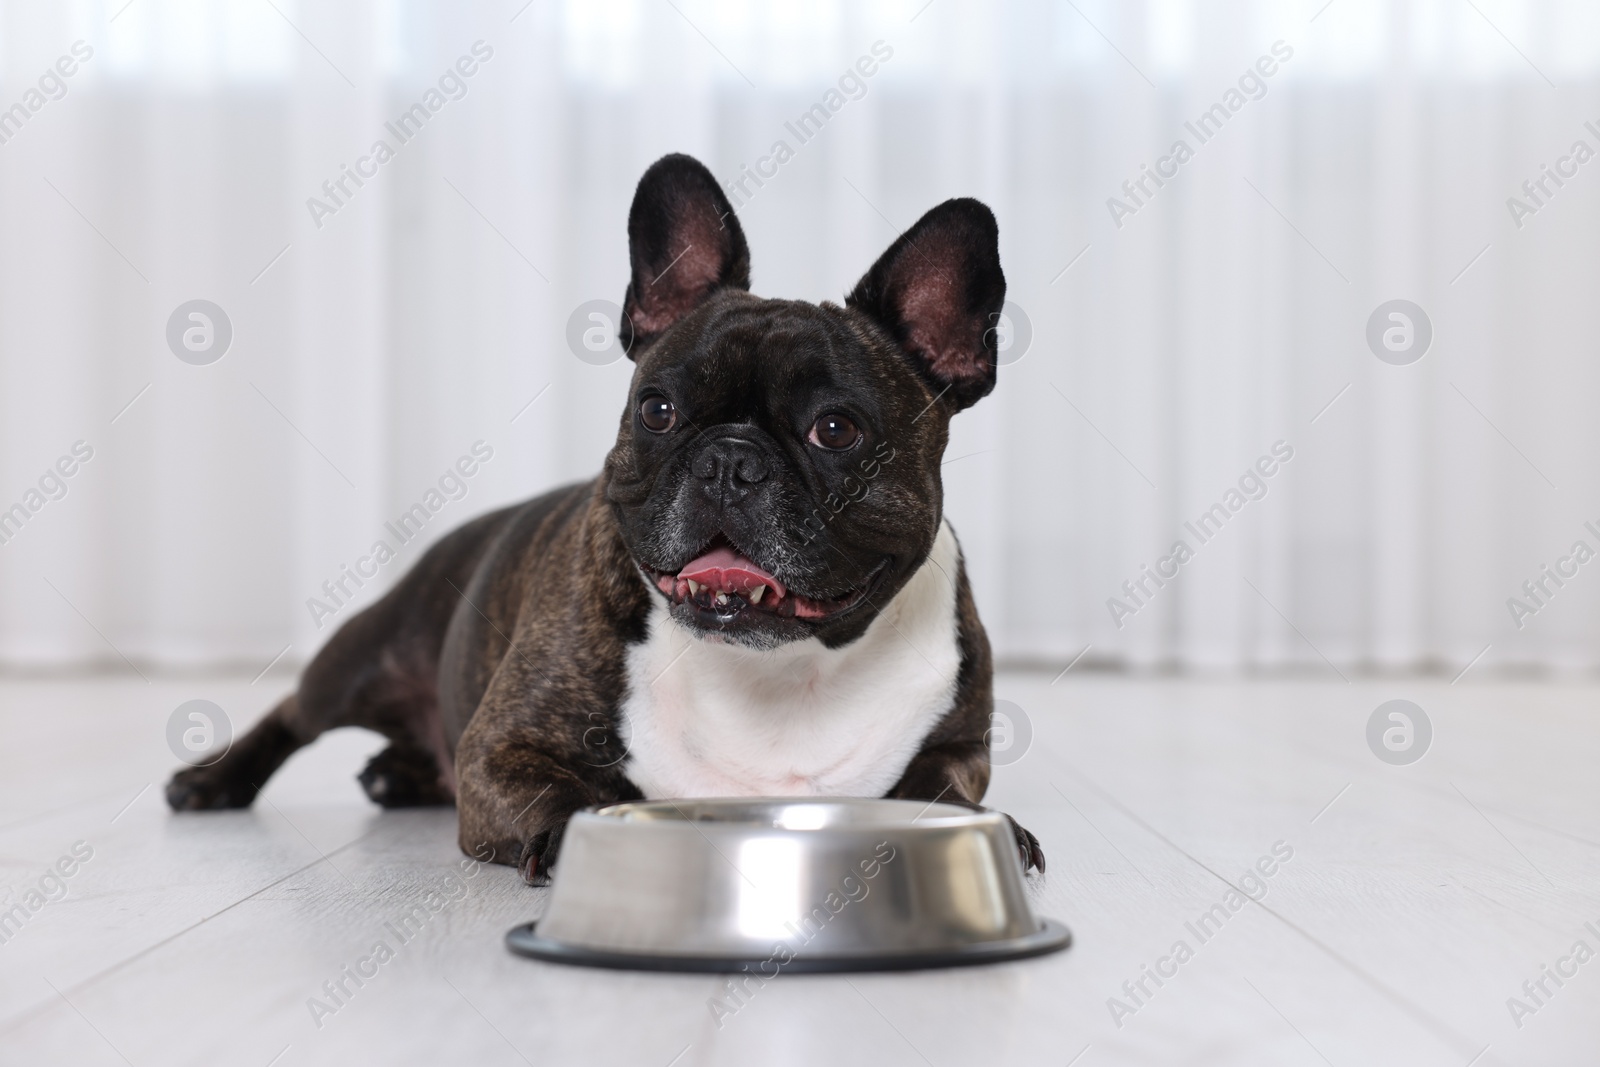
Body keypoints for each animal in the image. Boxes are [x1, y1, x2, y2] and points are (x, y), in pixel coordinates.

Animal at [168, 151, 1043, 883]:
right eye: (657, 409)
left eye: (836, 429)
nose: (729, 459)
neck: (778, 670)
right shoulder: (501, 749)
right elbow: (567, 791)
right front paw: (572, 836)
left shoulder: (959, 744)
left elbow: (946, 793)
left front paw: (1000, 827)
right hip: (365, 656)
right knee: (294, 711)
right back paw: (212, 779)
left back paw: (396, 772)